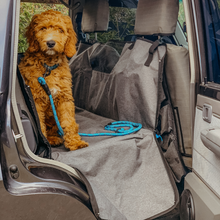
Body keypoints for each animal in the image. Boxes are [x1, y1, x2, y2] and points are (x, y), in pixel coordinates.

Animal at [18, 10, 88, 151]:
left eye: (60, 30)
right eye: (43, 28)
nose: (50, 43)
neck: (48, 66)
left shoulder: (65, 97)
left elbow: (69, 121)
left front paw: (74, 142)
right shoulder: (36, 100)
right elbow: (40, 125)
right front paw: (45, 144)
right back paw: (51, 140)